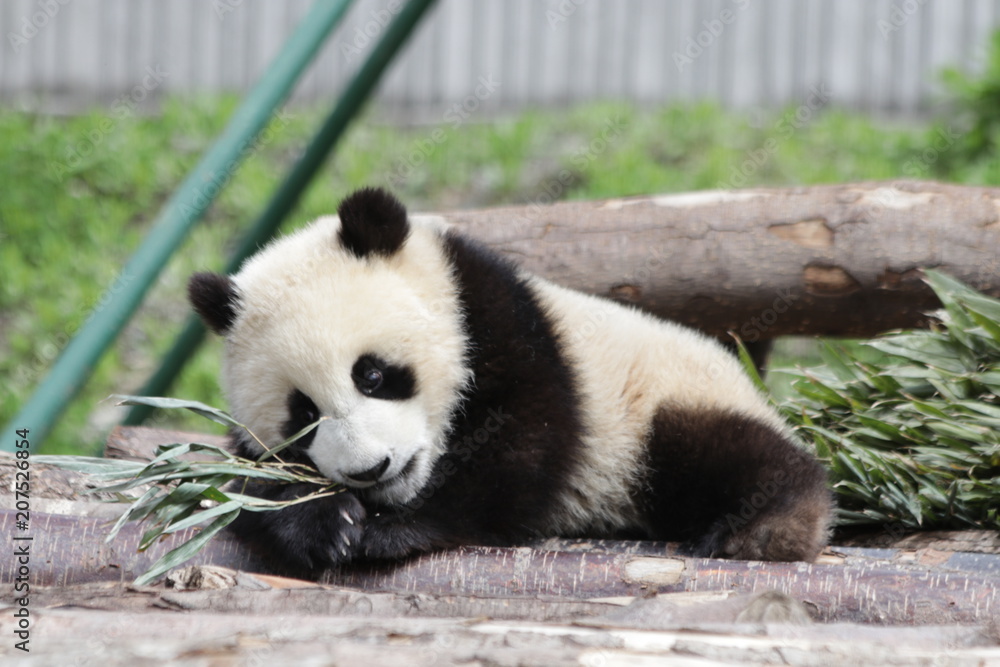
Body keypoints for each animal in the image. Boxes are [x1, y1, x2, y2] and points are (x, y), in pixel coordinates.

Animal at [188, 187, 832, 573]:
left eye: (372, 374)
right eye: (303, 413)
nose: (372, 471)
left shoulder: (506, 326)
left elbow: (521, 449)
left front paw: (392, 532)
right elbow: (242, 483)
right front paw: (327, 524)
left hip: (659, 404)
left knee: (708, 446)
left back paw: (766, 527)